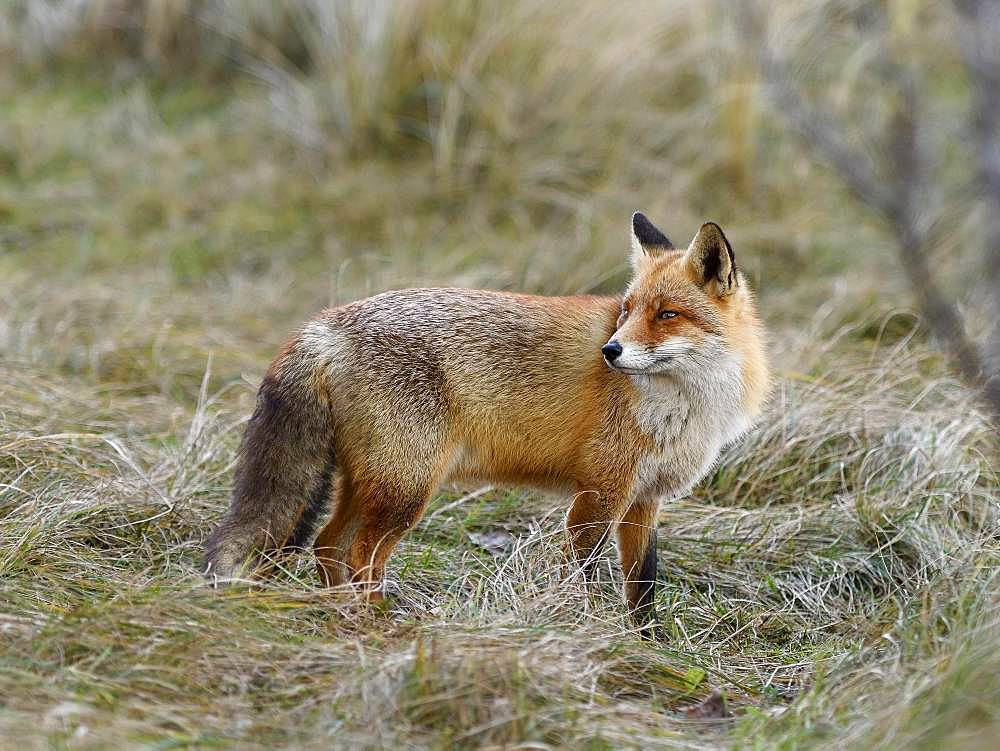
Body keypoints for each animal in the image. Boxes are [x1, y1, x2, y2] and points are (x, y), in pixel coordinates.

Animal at [201, 213, 764, 628]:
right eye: (626, 310)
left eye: (667, 314)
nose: (610, 351)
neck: (686, 405)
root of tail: (321, 325)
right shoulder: (601, 490)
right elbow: (583, 572)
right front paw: (581, 626)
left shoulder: (646, 498)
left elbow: (643, 585)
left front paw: (644, 643)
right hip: (407, 488)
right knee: (361, 556)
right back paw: (375, 620)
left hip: (372, 482)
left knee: (327, 545)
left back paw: (340, 614)